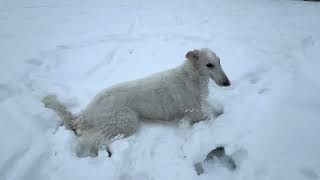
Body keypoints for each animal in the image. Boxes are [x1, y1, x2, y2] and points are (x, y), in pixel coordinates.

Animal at [42, 48, 230, 158]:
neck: (191, 76)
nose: (228, 83)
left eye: (220, 61)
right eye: (209, 65)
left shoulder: (199, 106)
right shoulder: (193, 112)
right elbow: (210, 117)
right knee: (90, 140)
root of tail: (85, 114)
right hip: (126, 121)